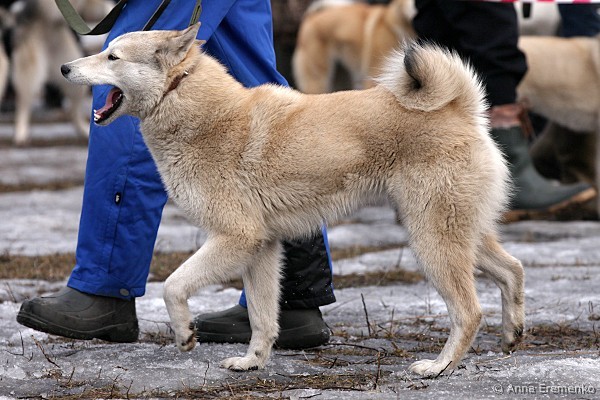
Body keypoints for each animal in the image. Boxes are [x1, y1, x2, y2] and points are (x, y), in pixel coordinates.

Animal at [4, 0, 110, 145]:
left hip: (74, 75)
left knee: (73, 110)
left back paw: (82, 129)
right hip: (32, 72)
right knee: (23, 102)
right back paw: (21, 132)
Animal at [61, 23, 525, 376]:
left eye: (112, 57)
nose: (65, 67)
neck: (191, 105)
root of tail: (460, 109)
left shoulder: (236, 238)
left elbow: (174, 286)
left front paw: (185, 334)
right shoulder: (261, 248)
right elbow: (263, 318)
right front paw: (252, 362)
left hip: (432, 240)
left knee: (469, 311)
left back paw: (440, 367)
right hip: (456, 233)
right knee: (512, 270)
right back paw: (512, 333)